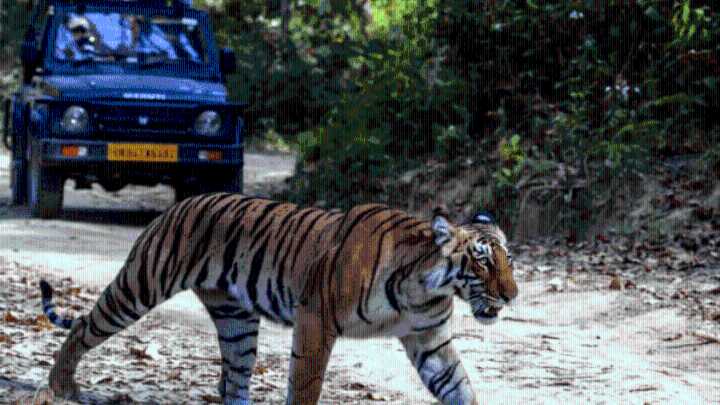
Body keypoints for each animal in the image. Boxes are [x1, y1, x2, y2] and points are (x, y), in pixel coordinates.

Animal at [39, 193, 518, 405]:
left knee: (234, 379)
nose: (512, 296)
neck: (423, 287)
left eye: (509, 260)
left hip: (236, 321)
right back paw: (62, 386)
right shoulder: (316, 320)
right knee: (83, 327)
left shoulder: (429, 338)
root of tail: (180, 203)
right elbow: (306, 384)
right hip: (141, 284)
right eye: (482, 262)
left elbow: (459, 387)